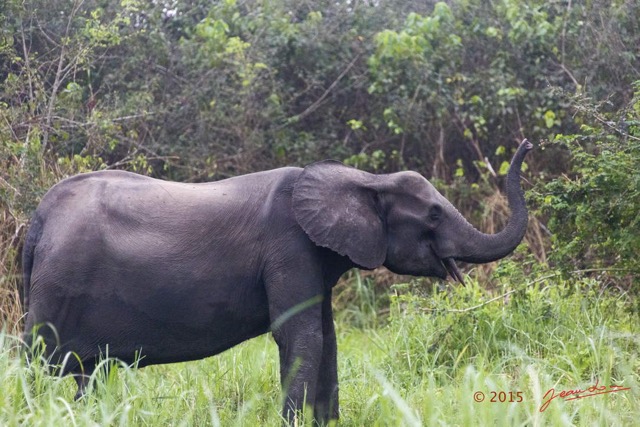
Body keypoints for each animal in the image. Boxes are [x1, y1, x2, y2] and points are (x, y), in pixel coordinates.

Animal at [22, 140, 532, 424]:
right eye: (433, 214)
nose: (527, 146)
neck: (365, 180)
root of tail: (39, 218)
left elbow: (325, 336)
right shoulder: (290, 246)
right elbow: (299, 336)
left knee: (87, 373)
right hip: (59, 285)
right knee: (39, 360)